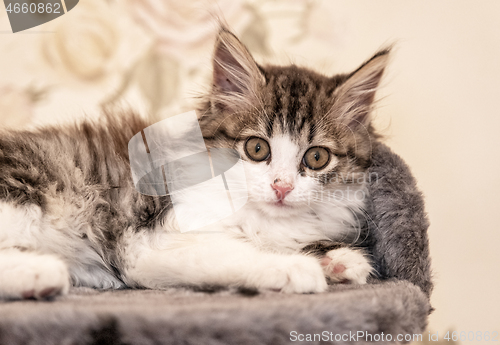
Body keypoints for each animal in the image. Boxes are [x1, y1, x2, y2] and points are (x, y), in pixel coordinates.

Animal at [0, 28, 386, 298]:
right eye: (257, 149)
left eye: (317, 157)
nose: (282, 187)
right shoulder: (148, 243)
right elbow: (235, 254)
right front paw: (297, 267)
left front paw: (339, 259)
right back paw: (44, 272)